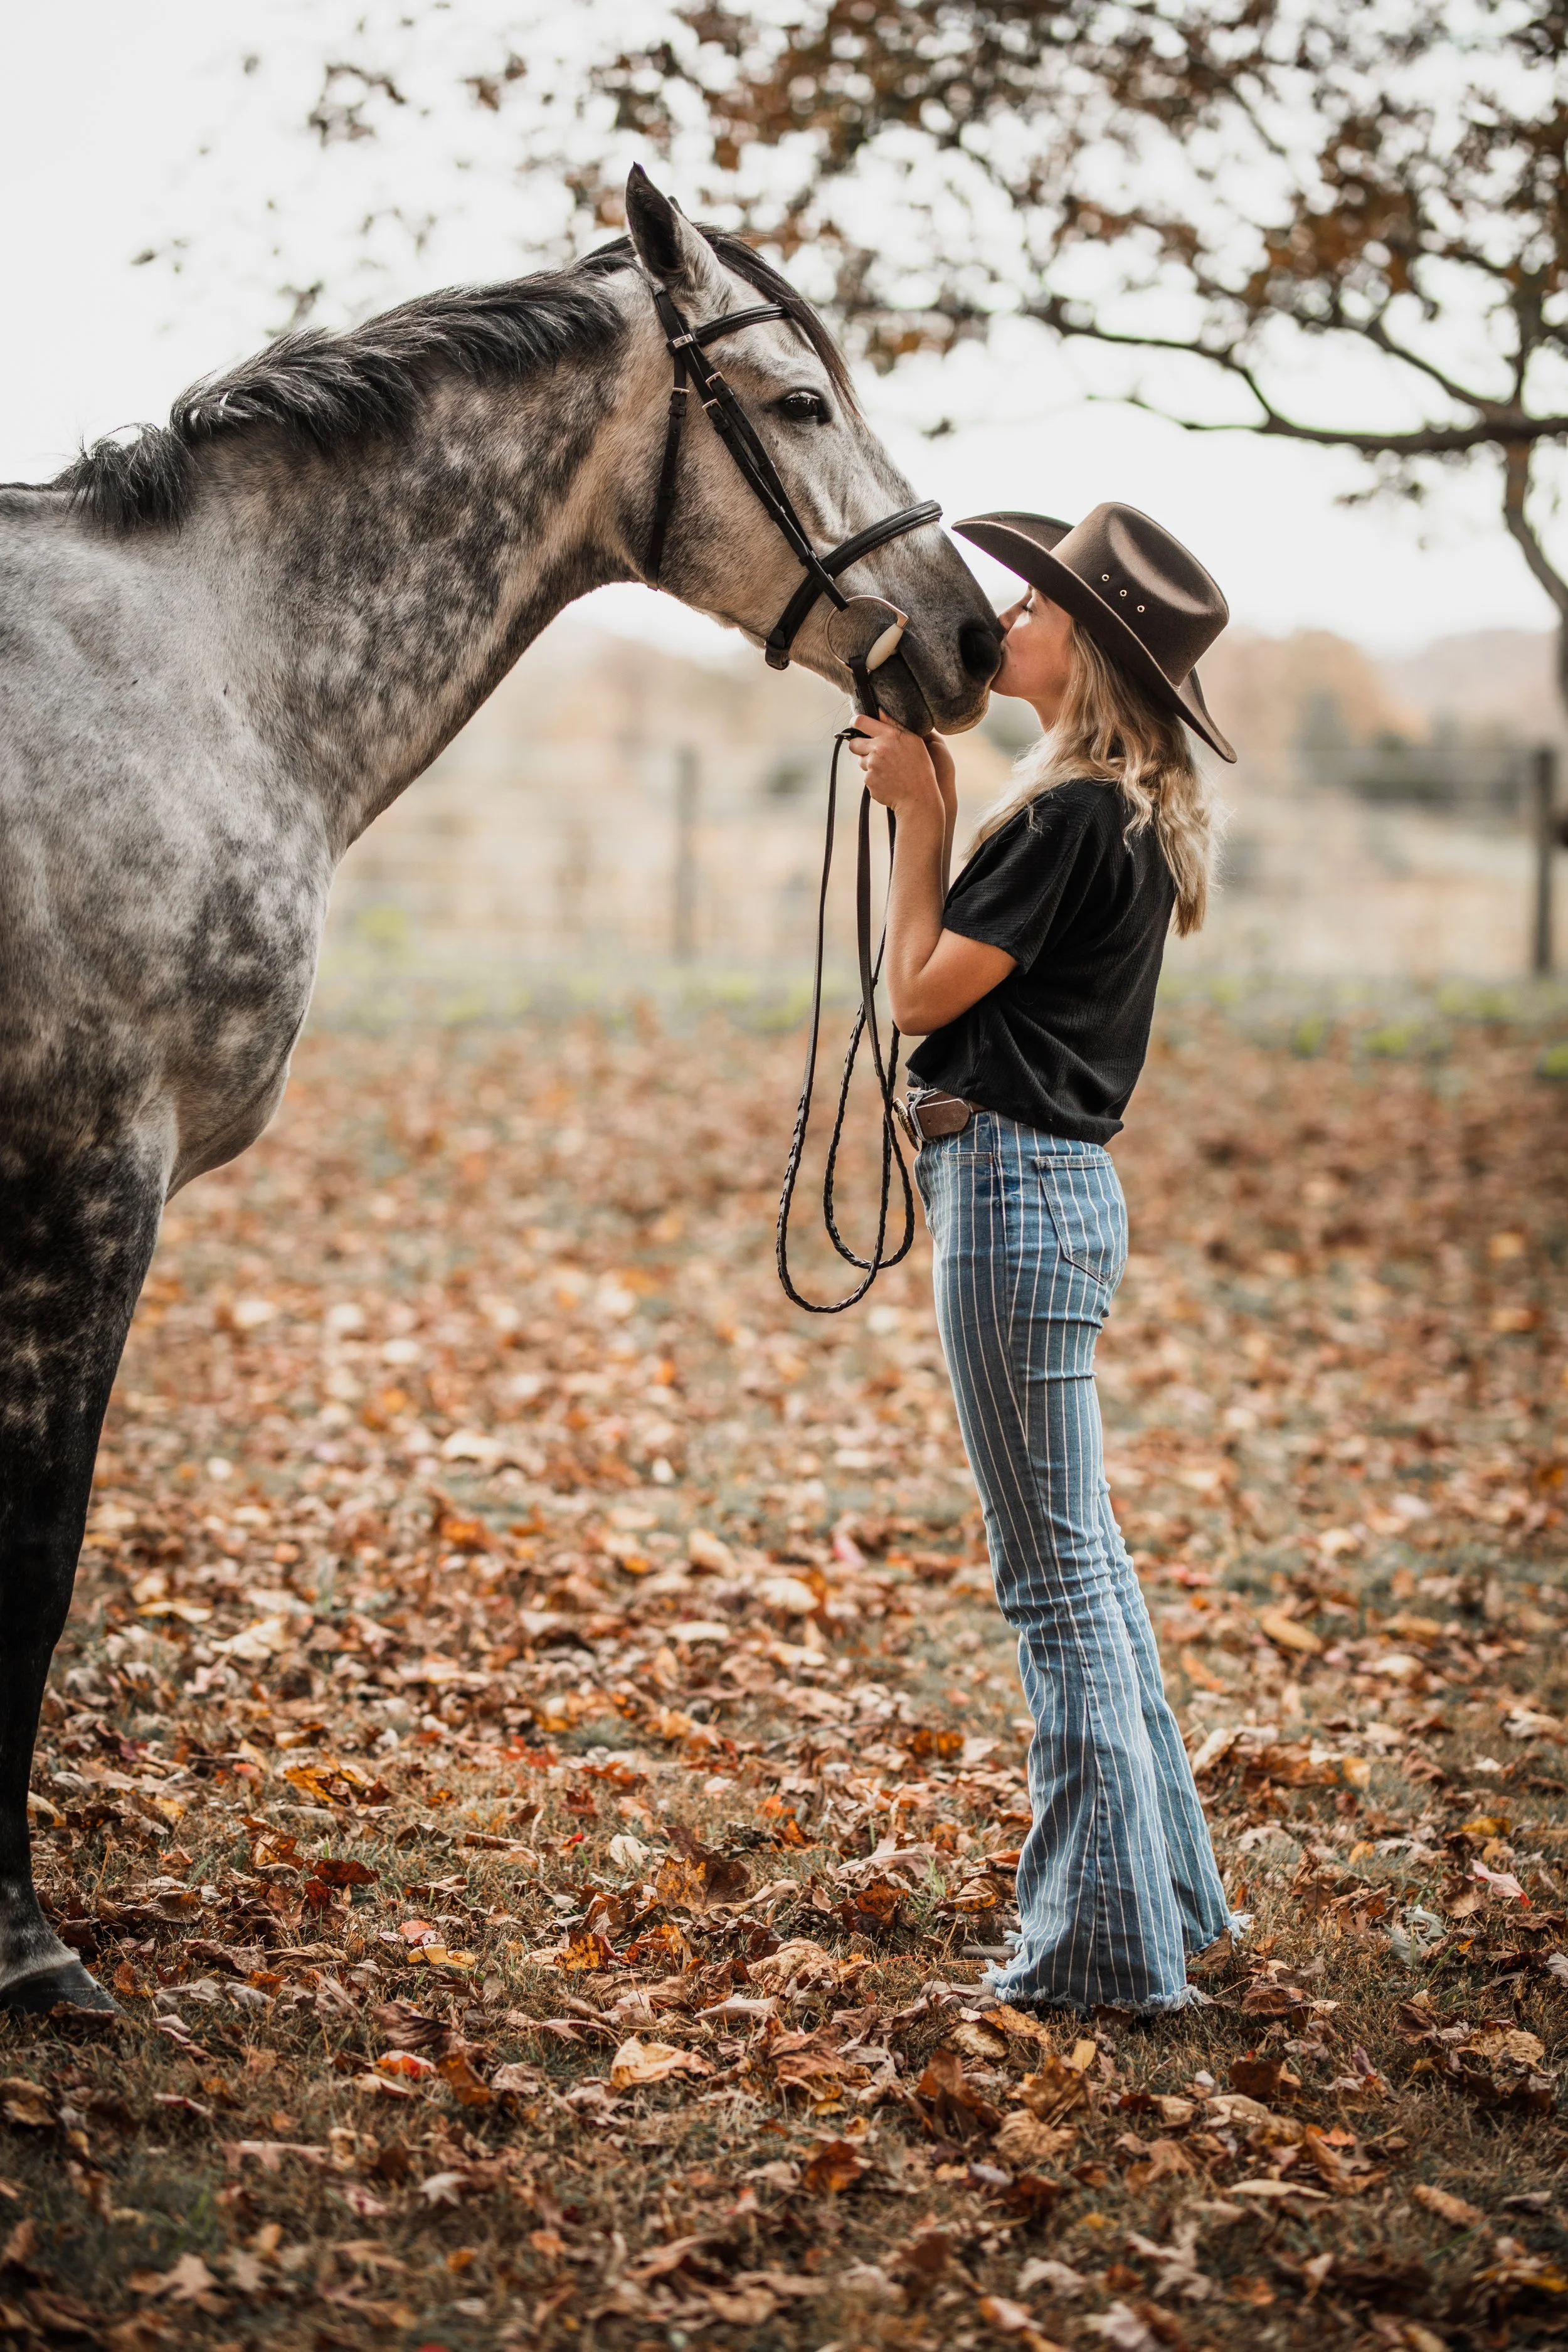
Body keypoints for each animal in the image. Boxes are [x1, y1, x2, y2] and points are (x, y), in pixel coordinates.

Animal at [0, 166, 999, 2011]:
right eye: (799, 403)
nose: (967, 637)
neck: (204, 672)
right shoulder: (88, 1181)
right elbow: (30, 1560)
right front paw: (27, 1948)